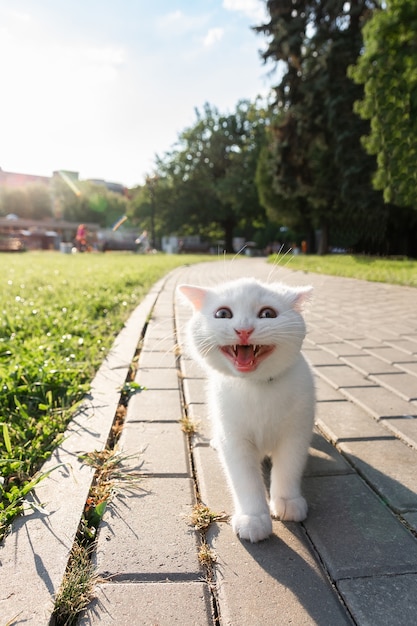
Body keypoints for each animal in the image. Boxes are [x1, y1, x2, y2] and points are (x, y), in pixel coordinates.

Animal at [177, 278, 314, 540]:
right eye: (222, 314)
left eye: (267, 314)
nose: (243, 330)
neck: (257, 387)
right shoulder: (233, 437)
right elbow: (245, 479)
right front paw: (253, 518)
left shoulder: (297, 431)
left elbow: (289, 467)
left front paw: (287, 501)